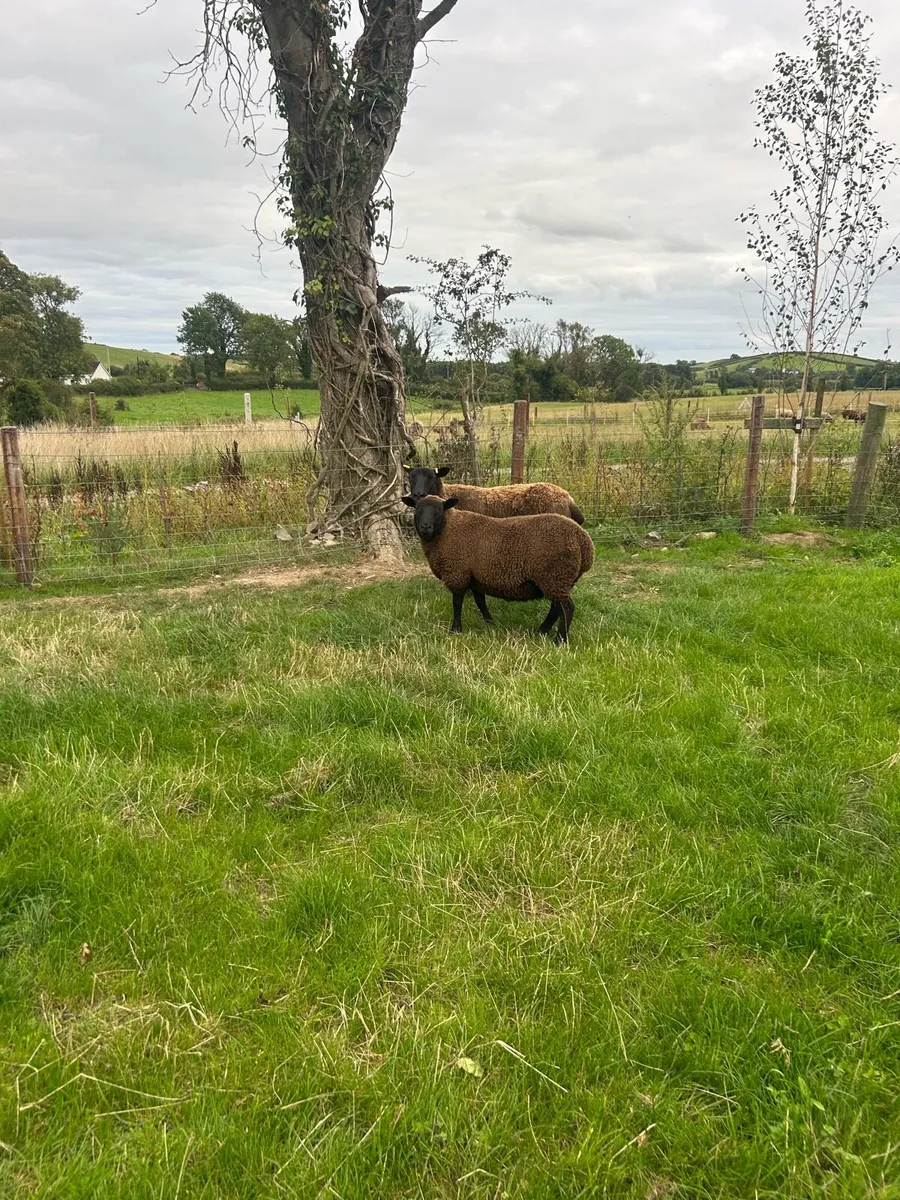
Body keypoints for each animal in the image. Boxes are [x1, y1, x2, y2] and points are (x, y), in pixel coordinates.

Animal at [402, 494, 594, 644]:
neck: (447, 529)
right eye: (417, 510)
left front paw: (456, 629)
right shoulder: (475, 577)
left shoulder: (457, 574)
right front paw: (490, 622)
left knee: (567, 608)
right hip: (559, 580)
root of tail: (583, 540)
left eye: (439, 510)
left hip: (554, 576)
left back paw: (559, 640)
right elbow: (480, 602)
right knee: (556, 608)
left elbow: (457, 603)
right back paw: (541, 631)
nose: (425, 526)